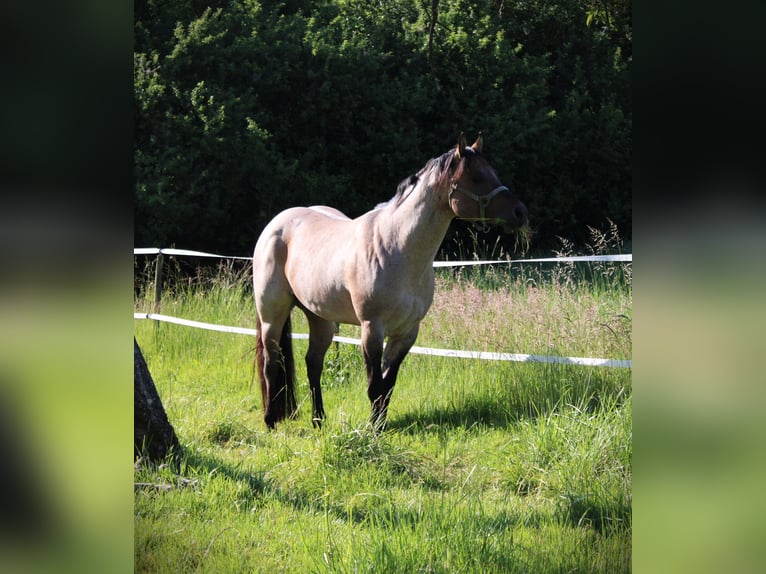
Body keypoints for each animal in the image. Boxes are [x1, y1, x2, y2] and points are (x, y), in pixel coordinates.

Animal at [252, 133, 528, 430]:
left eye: (493, 172)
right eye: (477, 177)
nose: (520, 212)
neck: (397, 249)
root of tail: (276, 225)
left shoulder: (406, 331)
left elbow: (388, 383)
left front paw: (381, 425)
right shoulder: (372, 328)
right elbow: (374, 384)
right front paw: (373, 430)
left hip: (320, 318)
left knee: (313, 363)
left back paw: (318, 420)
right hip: (272, 315)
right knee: (271, 362)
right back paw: (270, 421)